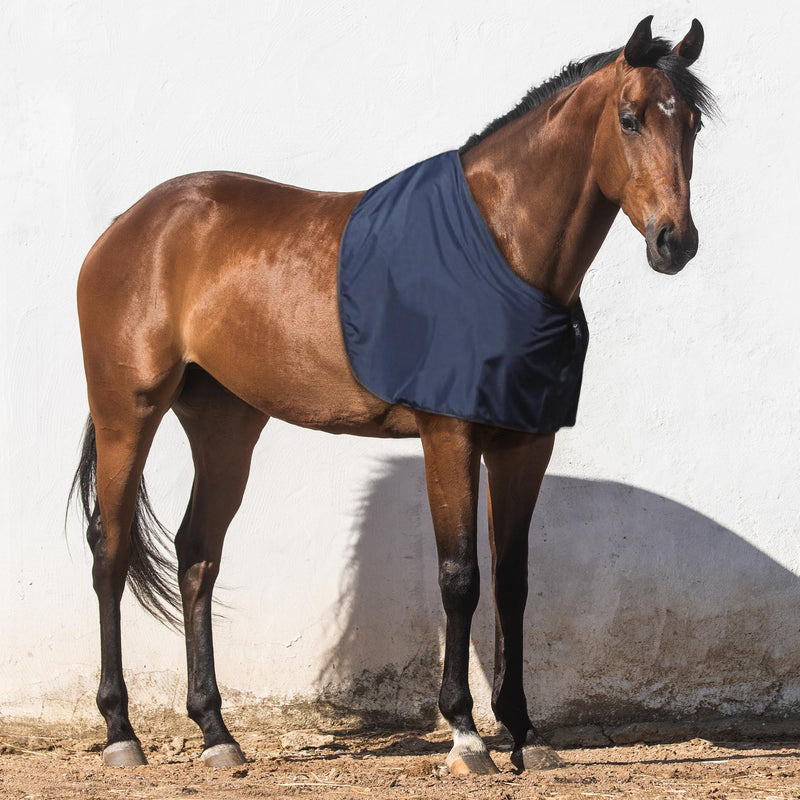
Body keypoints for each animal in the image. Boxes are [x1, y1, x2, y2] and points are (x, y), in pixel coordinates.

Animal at [71, 16, 713, 775]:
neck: (503, 247)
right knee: (110, 553)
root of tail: (132, 223)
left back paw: (217, 734)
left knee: (198, 554)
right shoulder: (450, 435)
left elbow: (514, 582)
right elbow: (460, 577)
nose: (675, 242)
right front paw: (466, 734)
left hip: (225, 423)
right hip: (127, 413)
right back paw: (121, 733)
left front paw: (524, 732)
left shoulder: (525, 444)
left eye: (694, 123)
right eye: (629, 118)